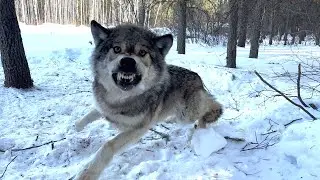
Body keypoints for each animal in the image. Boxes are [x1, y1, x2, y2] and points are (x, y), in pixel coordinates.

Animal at [73, 20, 222, 179]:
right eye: (117, 49)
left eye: (142, 53)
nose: (127, 61)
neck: (119, 99)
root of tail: (198, 77)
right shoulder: (104, 108)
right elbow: (90, 114)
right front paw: (77, 126)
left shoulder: (138, 129)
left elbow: (108, 146)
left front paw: (87, 174)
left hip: (187, 114)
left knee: (211, 105)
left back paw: (204, 125)